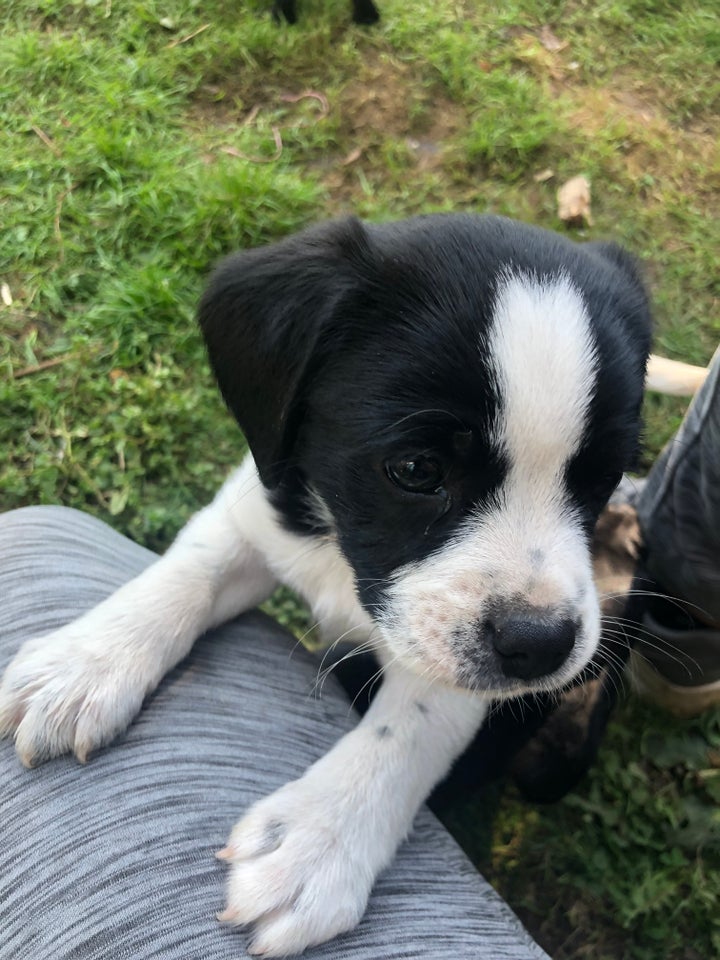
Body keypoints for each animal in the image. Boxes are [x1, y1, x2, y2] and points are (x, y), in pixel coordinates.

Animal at [0, 218, 648, 960]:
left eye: (603, 476)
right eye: (416, 469)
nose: (542, 648)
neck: (341, 562)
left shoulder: (458, 667)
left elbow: (406, 733)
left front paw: (316, 841)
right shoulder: (261, 508)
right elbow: (193, 565)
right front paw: (86, 664)